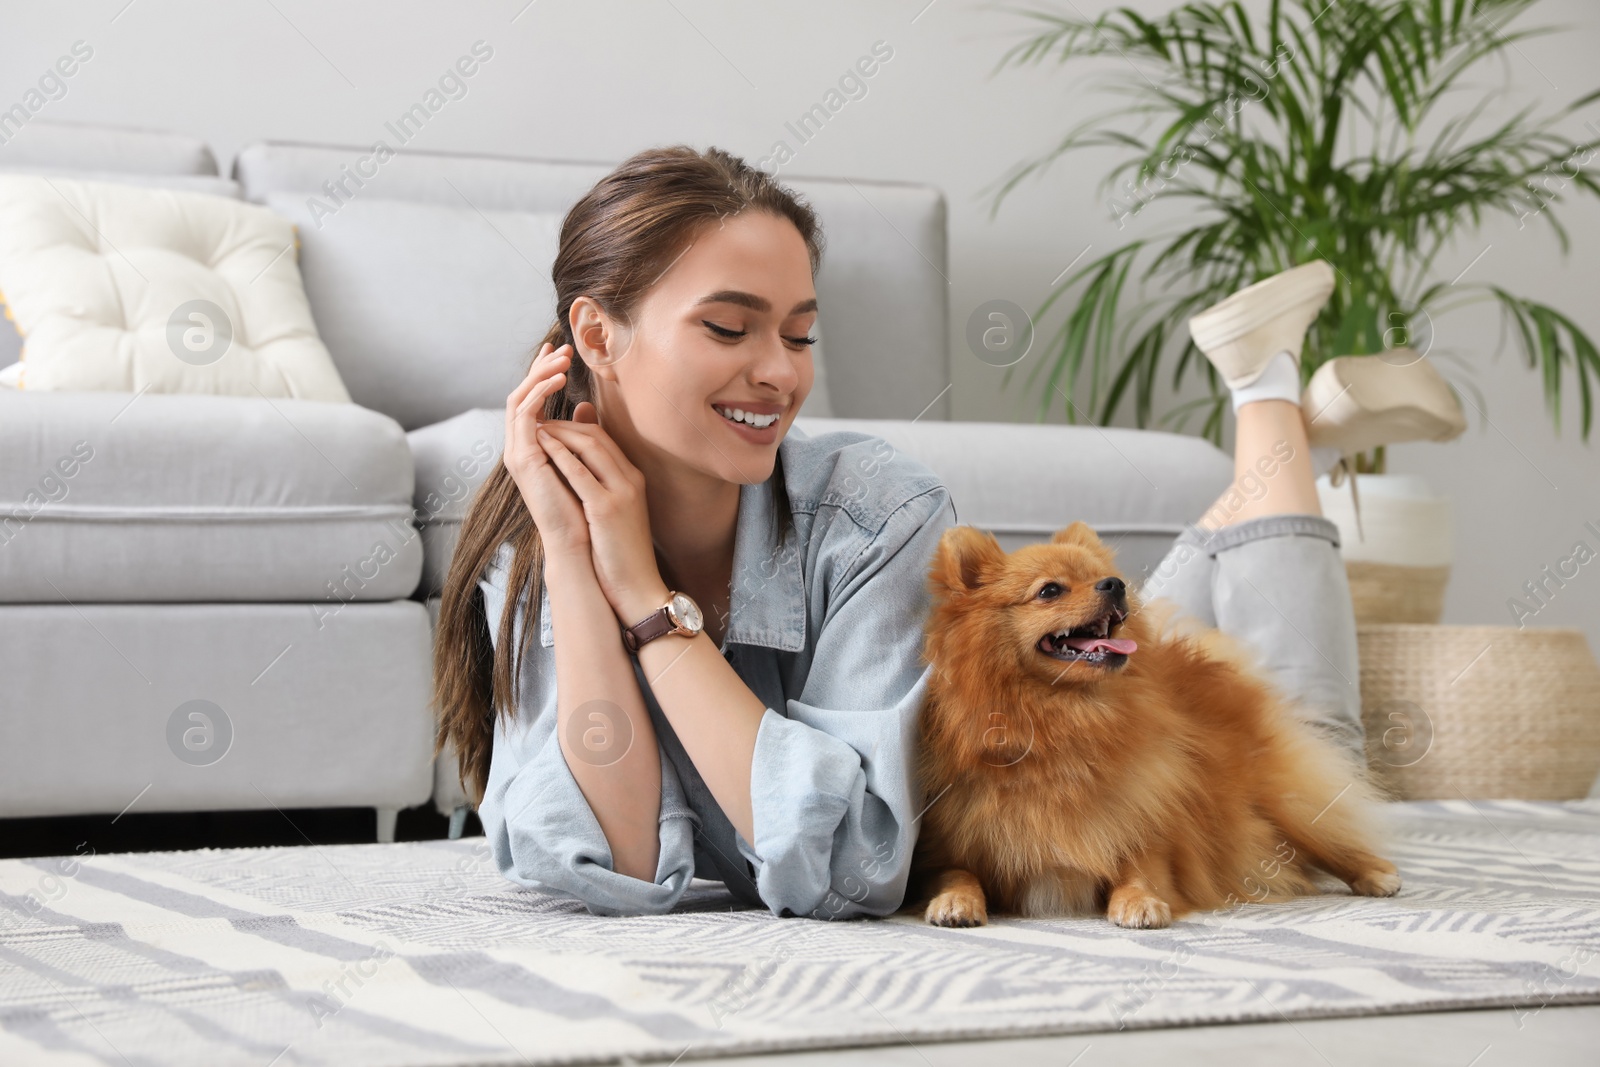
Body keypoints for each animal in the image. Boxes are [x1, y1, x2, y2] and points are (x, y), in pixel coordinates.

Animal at [915, 524, 1401, 927]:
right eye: (1049, 590)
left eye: (1104, 577)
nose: (1115, 585)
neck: (1065, 717)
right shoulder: (945, 846)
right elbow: (956, 871)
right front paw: (956, 900)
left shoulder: (1148, 821)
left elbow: (1141, 866)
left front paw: (1139, 900)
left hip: (1283, 803)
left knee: (1332, 838)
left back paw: (1376, 873)